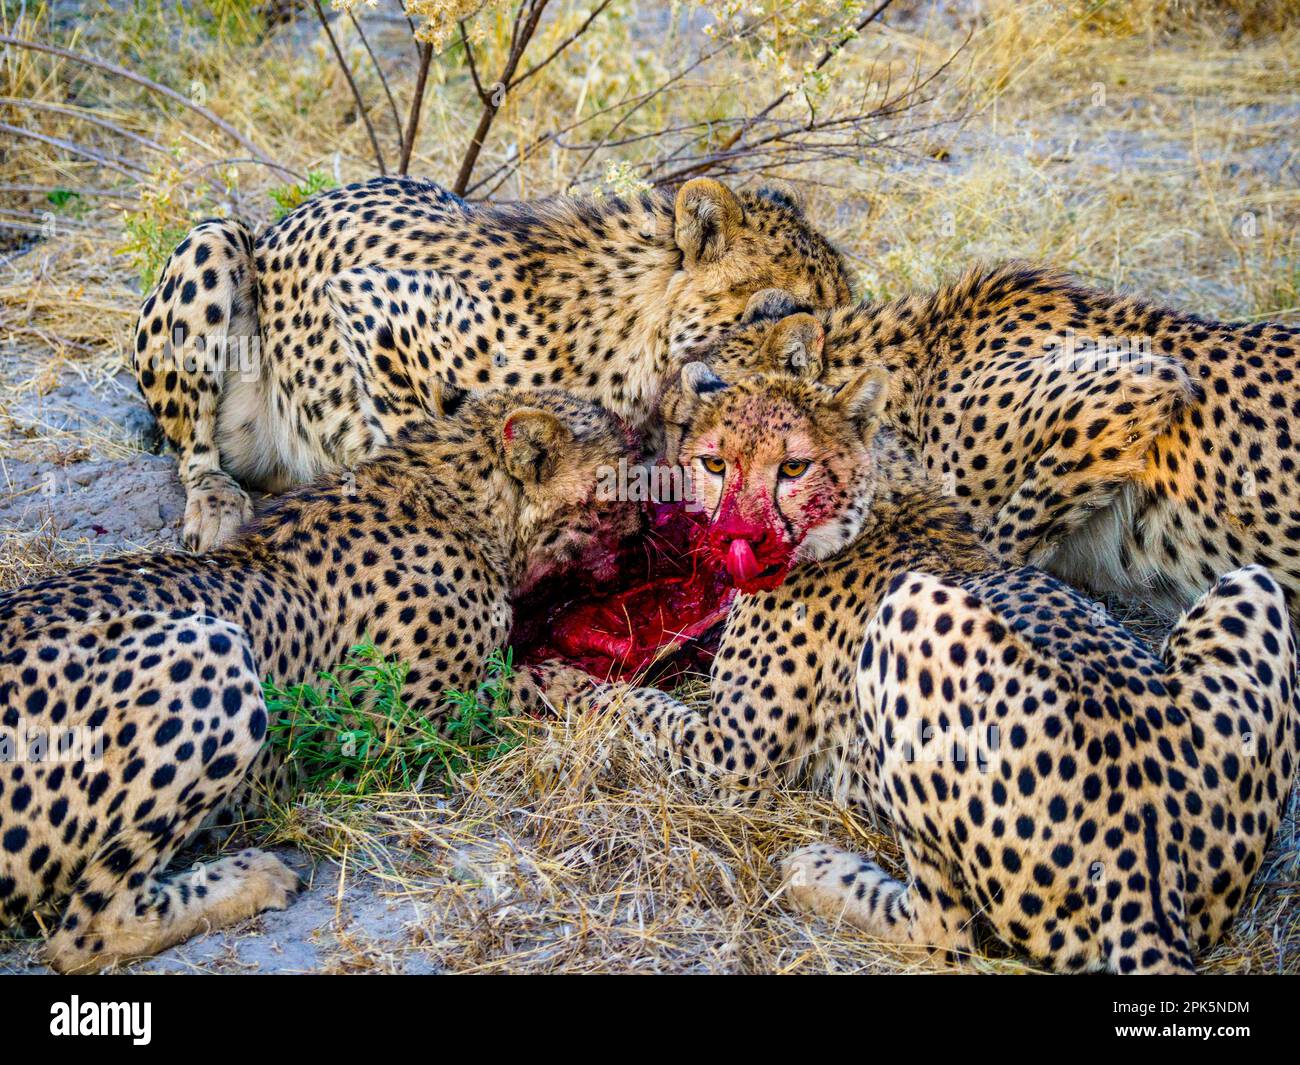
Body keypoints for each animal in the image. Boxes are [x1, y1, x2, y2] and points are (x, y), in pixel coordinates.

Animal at [0, 387, 639, 972]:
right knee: (83, 932)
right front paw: (603, 687)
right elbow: (536, 682)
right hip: (214, 651)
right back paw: (254, 877)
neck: (462, 494)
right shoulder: (397, 721)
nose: (645, 528)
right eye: (628, 463)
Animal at [134, 174, 852, 548]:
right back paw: (216, 503)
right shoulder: (371, 304)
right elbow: (420, 438)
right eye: (790, 305)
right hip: (216, 239)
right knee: (193, 447)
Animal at [530, 366, 1300, 972]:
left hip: (909, 616)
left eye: (793, 467)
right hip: (1251, 585)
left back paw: (820, 872)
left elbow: (636, 705)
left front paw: (545, 676)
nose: (739, 537)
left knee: (944, 931)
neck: (862, 501)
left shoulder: (734, 758)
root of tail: (1147, 873)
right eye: (717, 463)